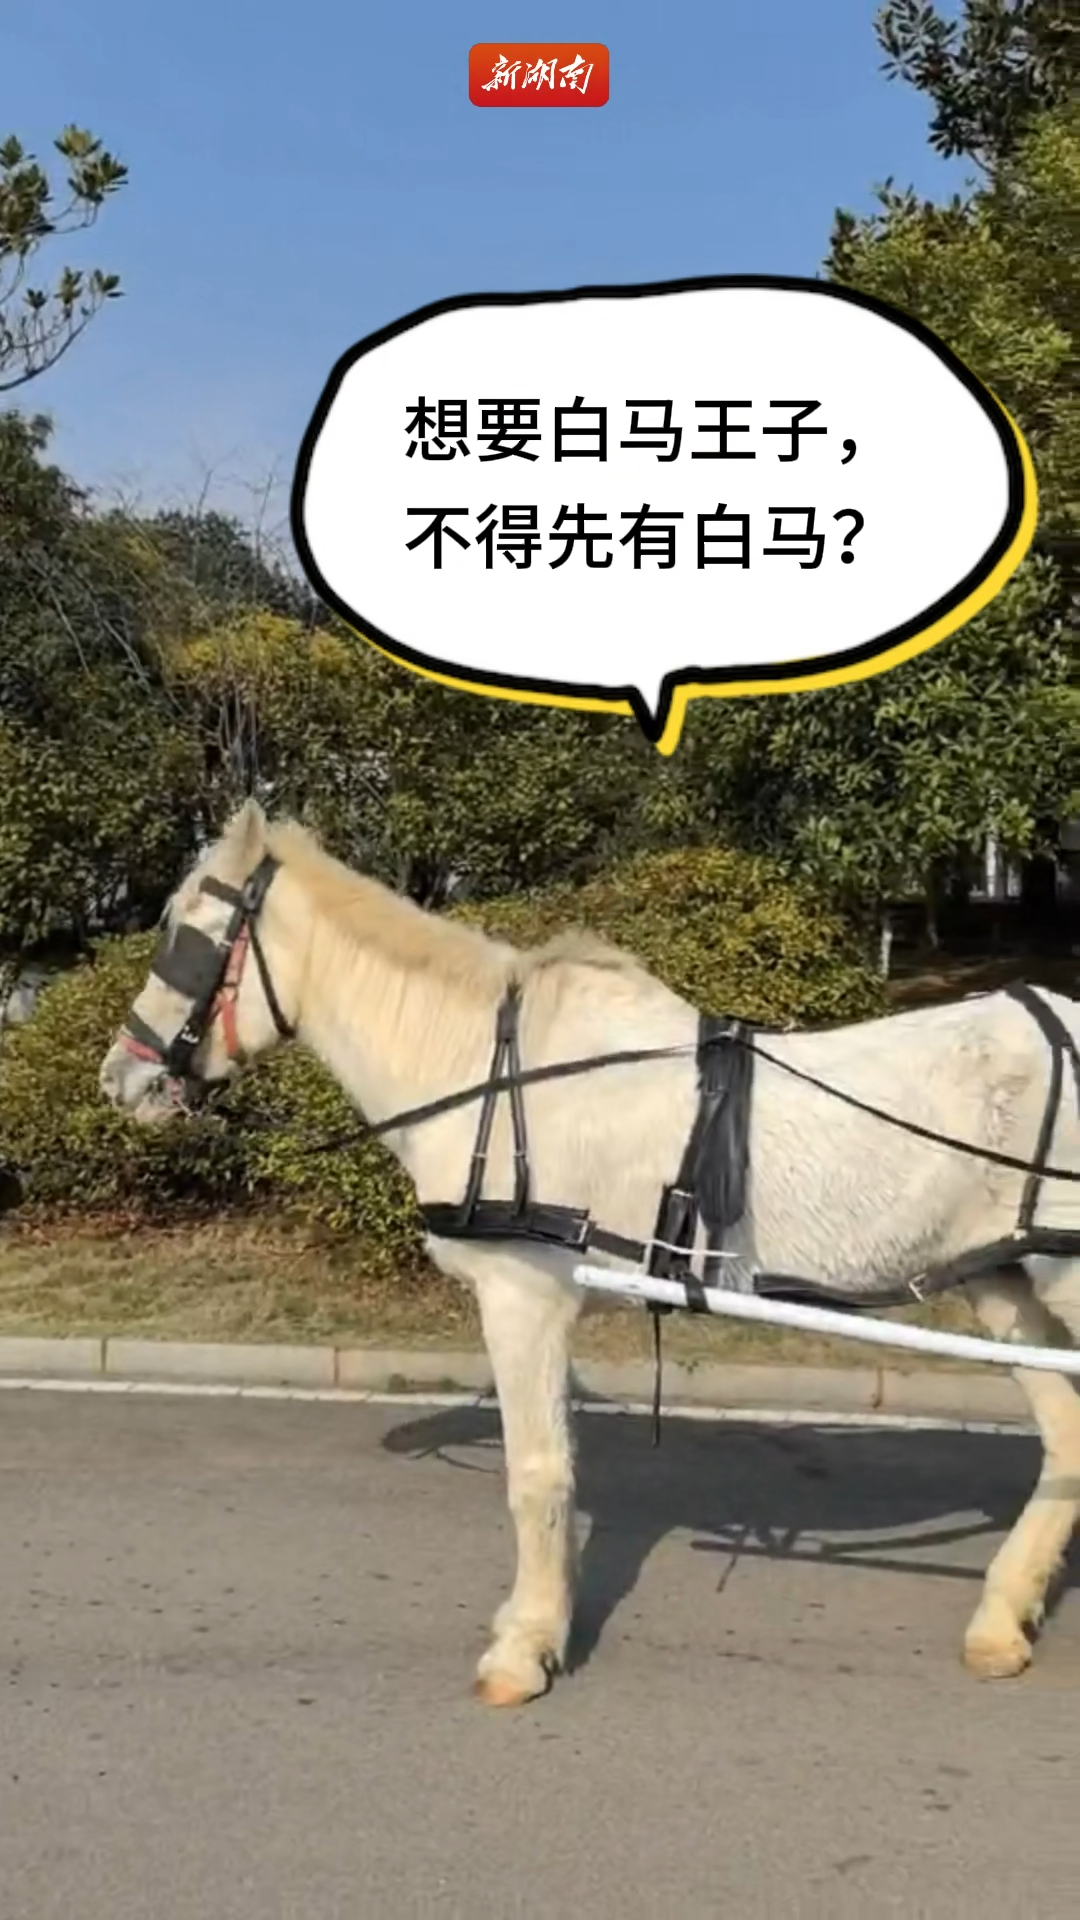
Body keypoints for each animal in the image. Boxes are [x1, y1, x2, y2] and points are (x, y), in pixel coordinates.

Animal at [98, 798, 1080, 1706]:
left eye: (186, 932)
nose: (121, 1077)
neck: (493, 1069)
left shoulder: (521, 1297)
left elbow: (538, 1474)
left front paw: (523, 1648)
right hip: (1001, 1281)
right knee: (1065, 1437)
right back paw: (1001, 1620)